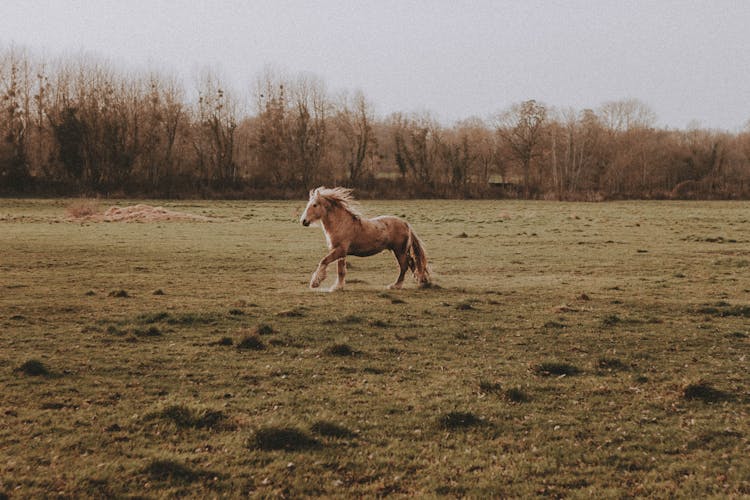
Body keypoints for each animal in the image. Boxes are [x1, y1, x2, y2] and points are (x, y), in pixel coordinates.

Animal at [298, 187, 428, 290]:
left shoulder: (340, 250)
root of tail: (406, 224)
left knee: (404, 266)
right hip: (401, 251)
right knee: (412, 263)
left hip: (399, 251)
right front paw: (338, 287)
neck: (341, 224)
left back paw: (396, 285)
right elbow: (341, 270)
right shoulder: (341, 253)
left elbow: (324, 261)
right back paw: (422, 281)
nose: (304, 221)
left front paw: (315, 283)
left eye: (314, 205)